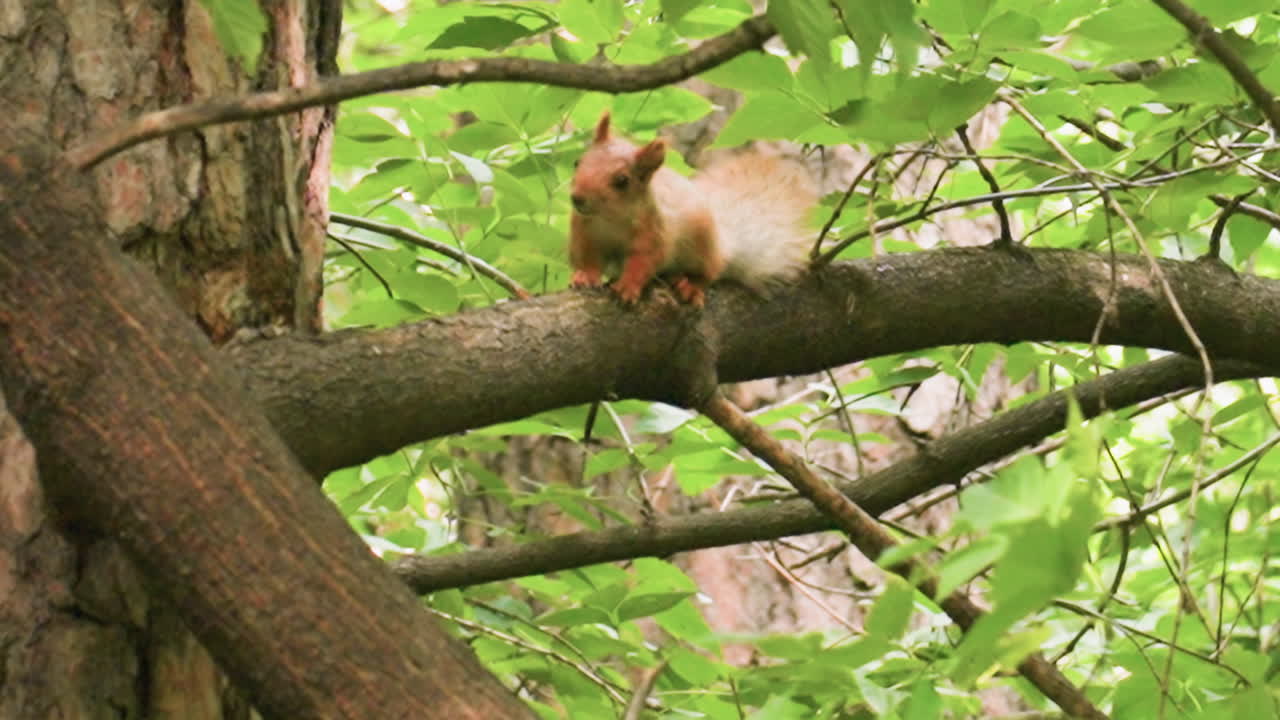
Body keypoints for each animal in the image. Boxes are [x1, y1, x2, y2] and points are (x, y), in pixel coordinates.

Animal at [568, 111, 817, 305]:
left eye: (622, 180)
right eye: (577, 162)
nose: (577, 198)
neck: (610, 218)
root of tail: (724, 245)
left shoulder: (654, 232)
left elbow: (644, 261)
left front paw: (628, 287)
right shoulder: (584, 233)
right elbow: (588, 258)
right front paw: (584, 277)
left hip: (702, 243)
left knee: (711, 271)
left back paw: (690, 286)